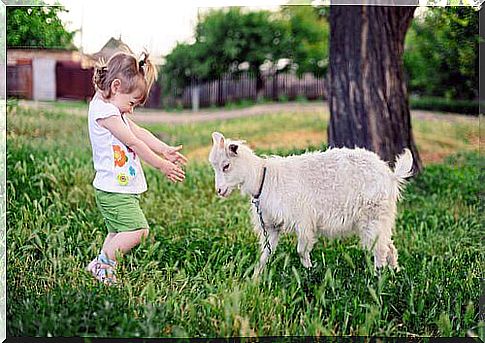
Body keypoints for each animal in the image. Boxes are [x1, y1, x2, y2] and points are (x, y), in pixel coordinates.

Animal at [208, 132, 412, 276]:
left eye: (226, 166)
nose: (219, 190)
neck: (263, 179)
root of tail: (391, 176)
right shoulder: (272, 225)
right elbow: (266, 252)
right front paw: (256, 276)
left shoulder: (303, 220)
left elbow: (301, 251)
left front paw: (308, 273)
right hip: (380, 219)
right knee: (389, 246)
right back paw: (395, 274)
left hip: (373, 216)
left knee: (379, 249)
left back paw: (377, 278)